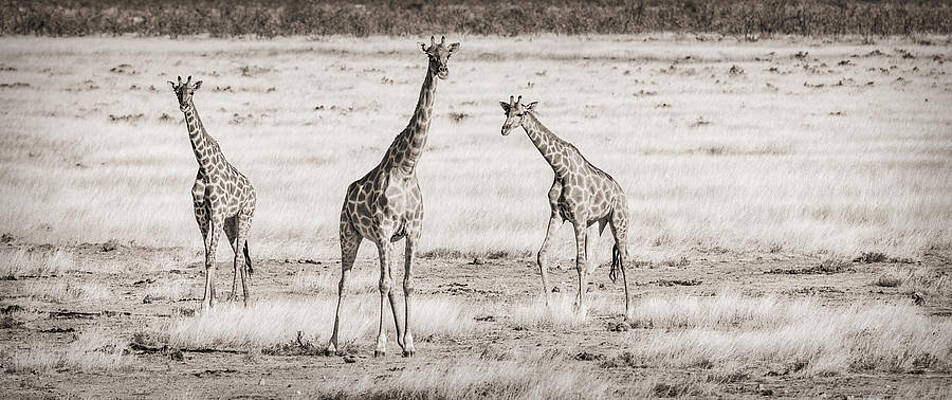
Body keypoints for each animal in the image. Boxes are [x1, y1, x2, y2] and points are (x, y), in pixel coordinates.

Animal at [168, 75, 257, 310]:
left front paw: (205, 303)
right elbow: (209, 257)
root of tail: (253, 190)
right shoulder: (202, 215)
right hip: (230, 222)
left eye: (192, 92)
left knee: (238, 258)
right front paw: (210, 300)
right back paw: (247, 300)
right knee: (240, 256)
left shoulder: (216, 214)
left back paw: (234, 298)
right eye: (178, 92)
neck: (205, 165)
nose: (183, 105)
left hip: (245, 216)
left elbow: (212, 259)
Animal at [328, 36, 459, 357]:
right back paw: (332, 344)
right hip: (349, 234)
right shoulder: (384, 230)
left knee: (390, 280)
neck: (407, 166)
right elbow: (383, 284)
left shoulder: (412, 232)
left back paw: (399, 338)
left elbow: (407, 284)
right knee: (344, 282)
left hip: (384, 243)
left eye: (448, 54)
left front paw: (408, 343)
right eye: (430, 55)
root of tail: (346, 194)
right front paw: (380, 345)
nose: (443, 70)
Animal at [499, 95, 631, 318]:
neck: (560, 169)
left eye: (521, 113)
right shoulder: (557, 215)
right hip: (596, 223)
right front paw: (550, 306)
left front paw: (583, 310)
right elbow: (542, 255)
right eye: (506, 112)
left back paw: (628, 312)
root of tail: (622, 194)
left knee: (623, 259)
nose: (505, 129)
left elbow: (579, 262)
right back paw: (577, 304)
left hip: (618, 222)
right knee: (594, 260)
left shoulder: (578, 217)